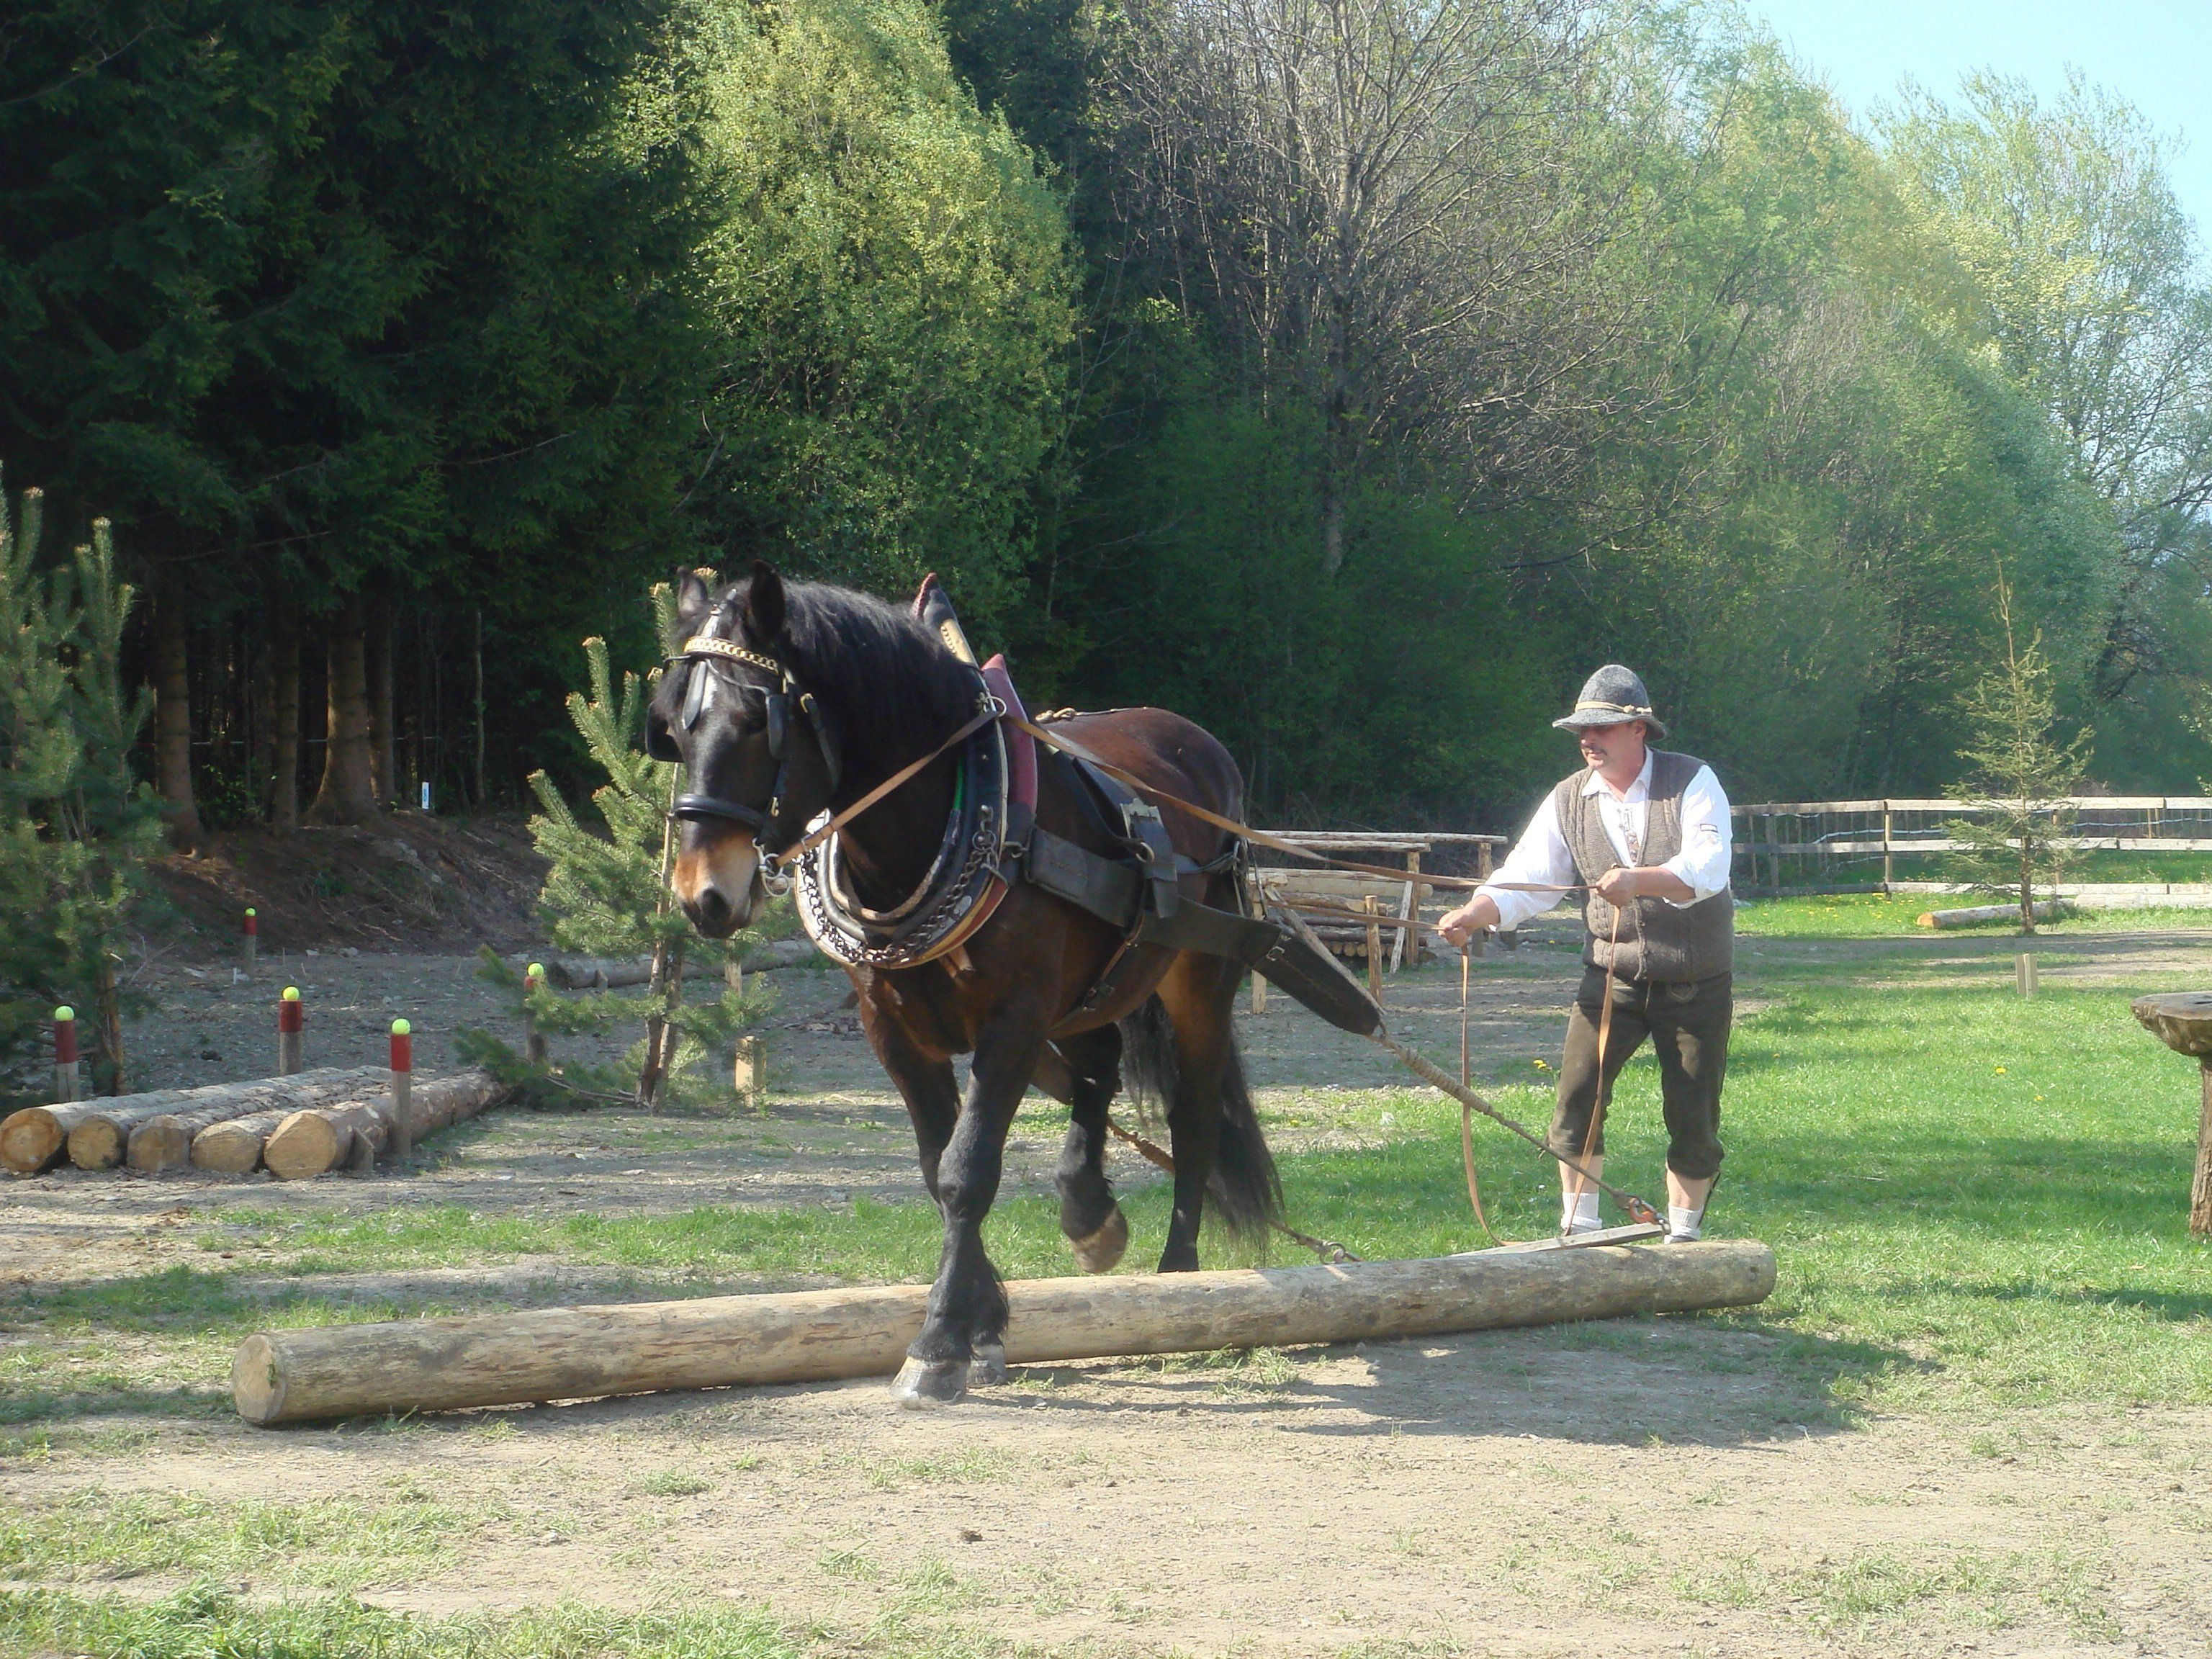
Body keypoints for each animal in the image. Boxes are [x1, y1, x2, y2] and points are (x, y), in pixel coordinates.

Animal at [647, 563, 1282, 1407]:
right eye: (673, 729)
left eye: (757, 721)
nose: (702, 895)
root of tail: (1198, 744)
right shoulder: (893, 1030)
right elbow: (935, 1165)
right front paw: (984, 1325)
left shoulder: (1012, 1021)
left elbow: (967, 1172)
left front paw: (939, 1342)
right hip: (1091, 992)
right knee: (1100, 1067)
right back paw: (1089, 1212)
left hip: (1199, 980)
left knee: (1194, 1116)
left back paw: (1178, 1277)